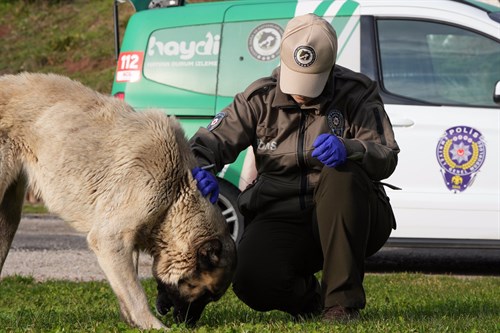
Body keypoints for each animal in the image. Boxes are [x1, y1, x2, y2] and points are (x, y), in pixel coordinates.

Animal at [0, 71, 237, 328]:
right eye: (206, 294)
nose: (188, 325)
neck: (177, 192)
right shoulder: (110, 238)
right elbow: (135, 292)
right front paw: (152, 325)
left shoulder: (127, 241)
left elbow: (127, 286)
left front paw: (132, 322)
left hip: (9, 215)